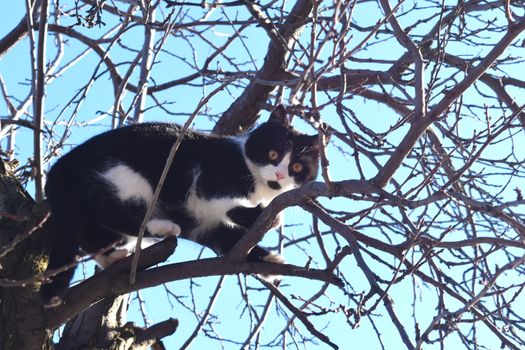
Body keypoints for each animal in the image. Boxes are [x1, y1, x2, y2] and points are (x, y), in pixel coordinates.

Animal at [40, 105, 320, 308]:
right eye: (273, 154)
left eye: (297, 167)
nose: (280, 175)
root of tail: (59, 169)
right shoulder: (208, 178)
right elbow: (222, 200)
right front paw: (266, 218)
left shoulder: (204, 225)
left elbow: (229, 240)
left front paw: (269, 260)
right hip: (129, 177)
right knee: (109, 211)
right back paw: (161, 227)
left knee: (89, 232)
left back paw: (113, 255)